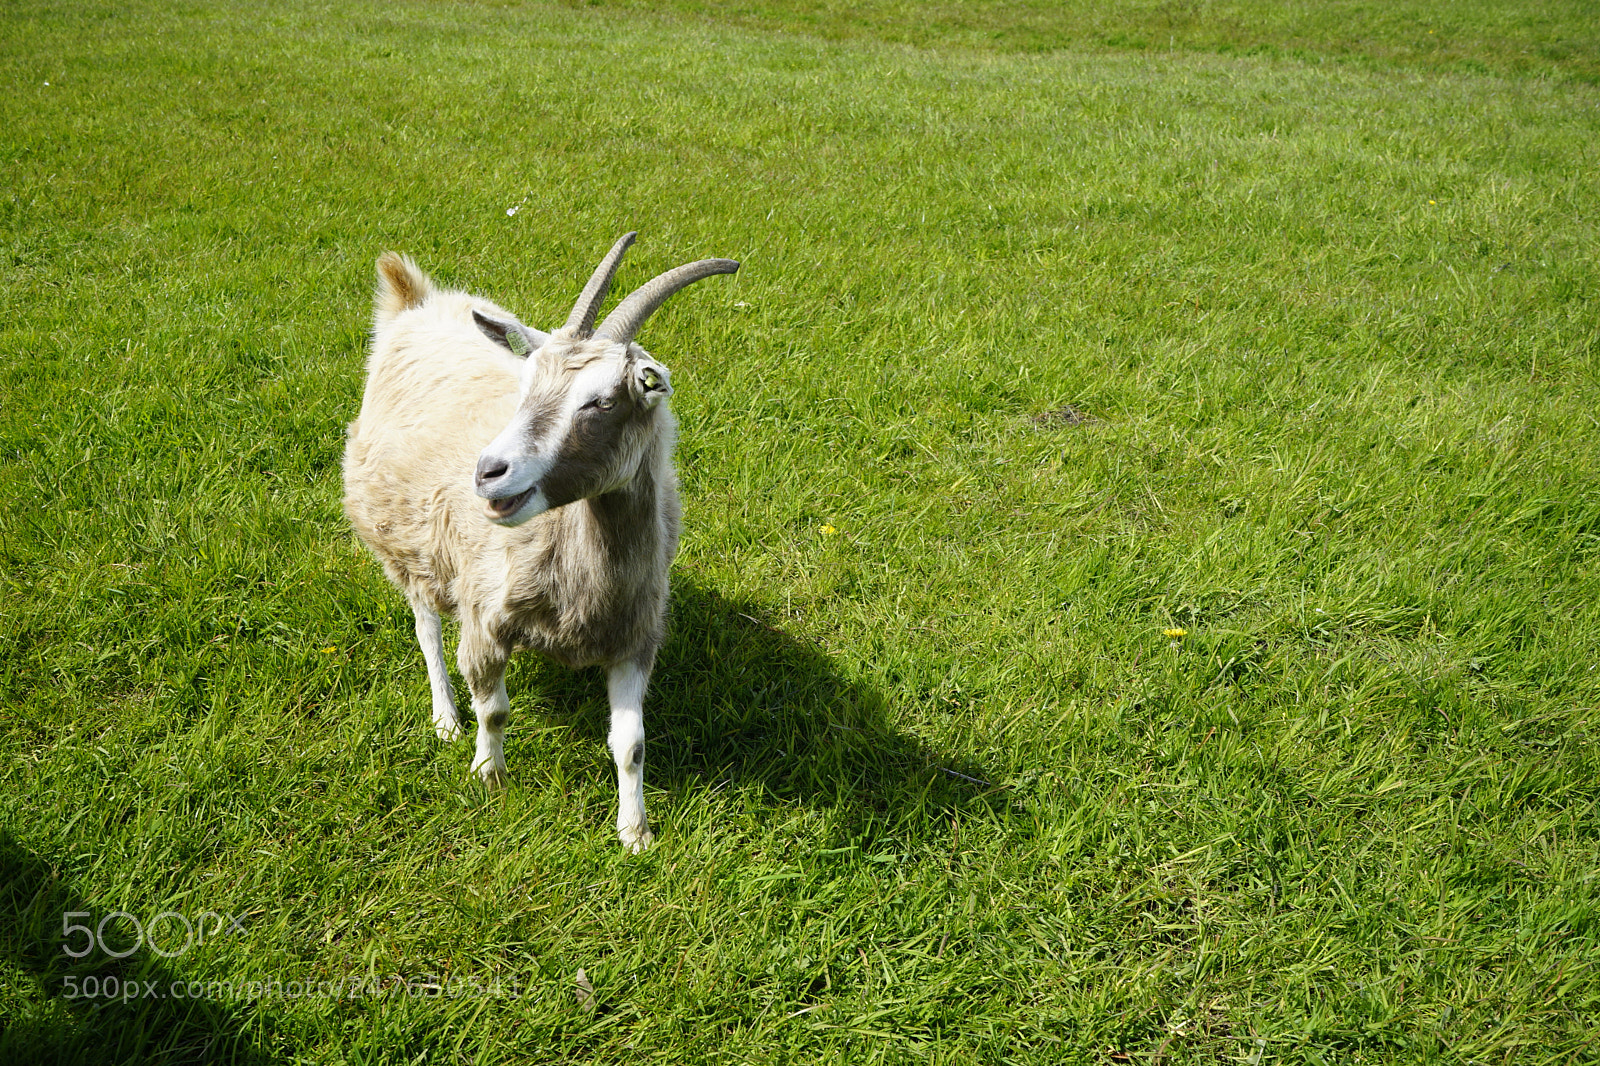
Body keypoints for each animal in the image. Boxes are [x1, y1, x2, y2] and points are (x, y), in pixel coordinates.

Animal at [342, 233, 738, 851]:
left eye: (601, 401)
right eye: (524, 386)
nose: (488, 472)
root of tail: (414, 303)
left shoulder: (635, 637)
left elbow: (631, 744)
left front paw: (635, 833)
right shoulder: (484, 617)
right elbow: (494, 710)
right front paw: (489, 776)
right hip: (407, 540)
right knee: (426, 627)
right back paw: (445, 718)